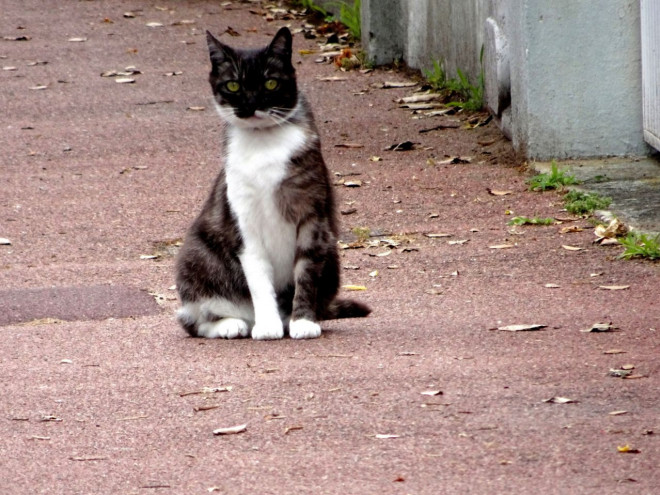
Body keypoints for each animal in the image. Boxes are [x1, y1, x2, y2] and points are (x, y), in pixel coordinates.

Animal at [175, 27, 372, 340]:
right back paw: (232, 324)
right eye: (233, 86)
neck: (262, 143)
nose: (251, 104)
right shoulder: (245, 224)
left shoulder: (312, 218)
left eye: (270, 83)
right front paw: (268, 325)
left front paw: (303, 322)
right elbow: (259, 281)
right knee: (192, 319)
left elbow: (306, 274)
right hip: (197, 255)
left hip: (332, 256)